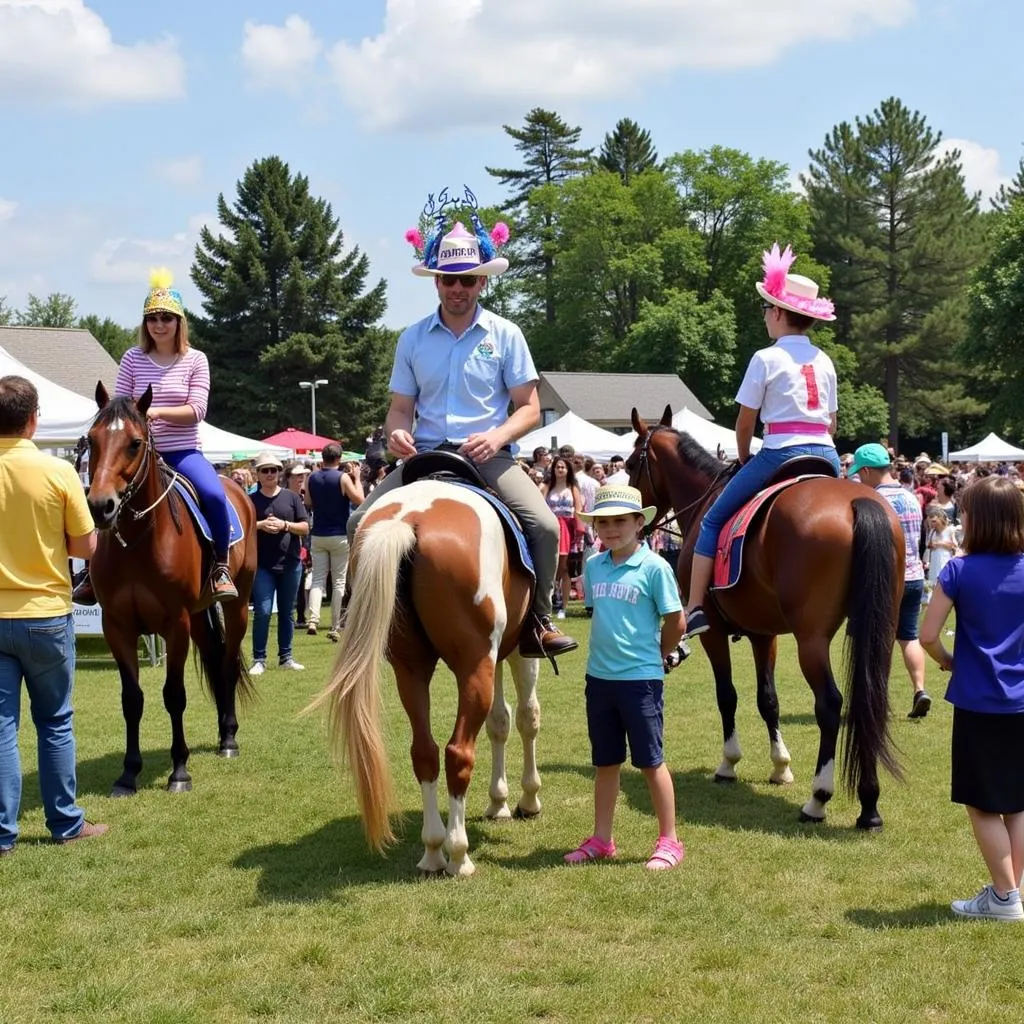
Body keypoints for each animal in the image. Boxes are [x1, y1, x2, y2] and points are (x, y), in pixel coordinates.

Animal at [86, 385, 258, 790]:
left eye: (135, 443)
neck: (137, 543)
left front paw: (179, 769)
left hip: (236, 605)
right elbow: (131, 699)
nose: (101, 506)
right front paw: (128, 774)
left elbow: (174, 695)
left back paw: (229, 738)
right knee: (216, 658)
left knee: (227, 664)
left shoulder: (174, 624)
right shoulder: (117, 626)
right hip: (198, 617)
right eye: (91, 440)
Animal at [311, 454, 540, 872]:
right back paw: (458, 853)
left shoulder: (497, 653)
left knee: (425, 752)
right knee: (457, 752)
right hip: (474, 666)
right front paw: (527, 799)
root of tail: (408, 520)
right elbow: (527, 718)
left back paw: (433, 849)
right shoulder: (517, 651)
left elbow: (500, 722)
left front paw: (498, 801)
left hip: (411, 669)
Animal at [622, 403, 905, 827]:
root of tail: (857, 502)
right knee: (869, 700)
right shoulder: (763, 633)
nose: (630, 520)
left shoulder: (714, 632)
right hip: (880, 631)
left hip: (811, 639)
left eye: (627, 465)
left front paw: (728, 763)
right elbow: (767, 699)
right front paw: (780, 765)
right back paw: (869, 805)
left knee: (830, 704)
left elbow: (727, 695)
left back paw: (818, 799)